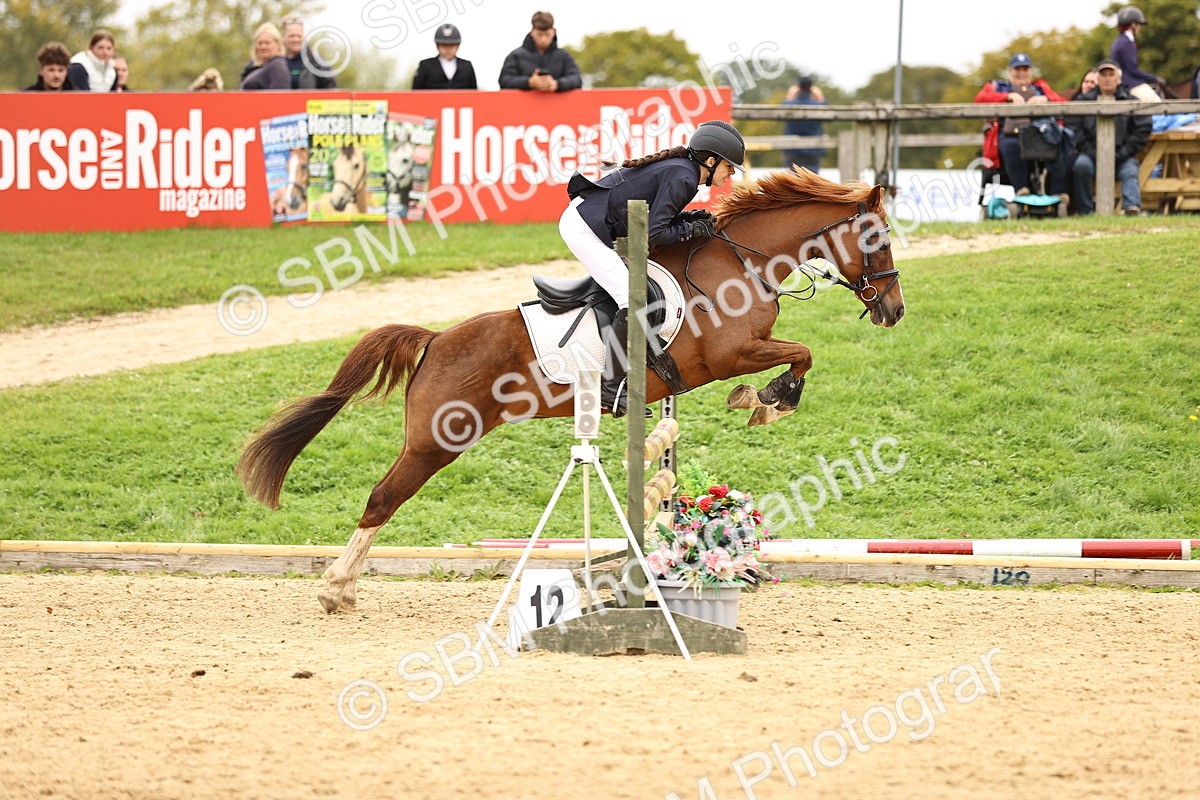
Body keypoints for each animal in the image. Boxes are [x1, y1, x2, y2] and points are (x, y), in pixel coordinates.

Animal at [236, 168, 906, 613]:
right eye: (878, 240)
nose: (894, 311)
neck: (741, 263)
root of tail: (436, 340)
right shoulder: (729, 354)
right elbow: (801, 354)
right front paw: (770, 401)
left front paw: (759, 402)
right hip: (436, 441)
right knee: (382, 498)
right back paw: (336, 589)